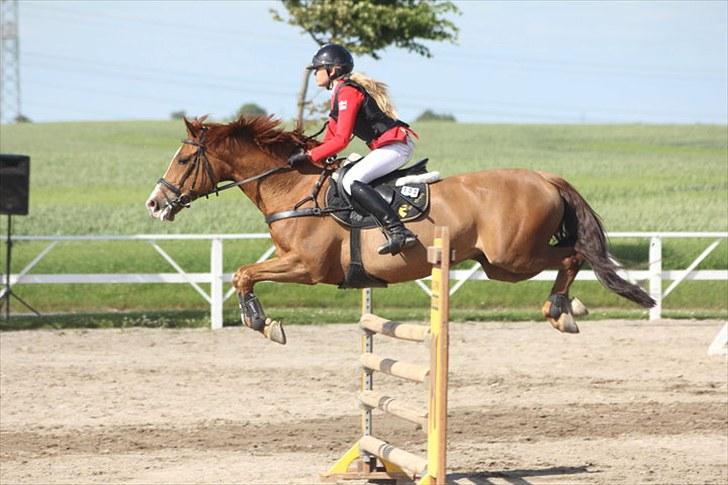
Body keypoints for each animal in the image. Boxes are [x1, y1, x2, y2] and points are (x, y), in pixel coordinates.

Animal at [146, 116, 656, 344]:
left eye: (185, 159)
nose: (155, 203)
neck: (294, 187)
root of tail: (544, 176)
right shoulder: (291, 262)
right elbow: (242, 273)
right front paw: (263, 321)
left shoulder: (307, 267)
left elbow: (243, 274)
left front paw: (261, 322)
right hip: (501, 264)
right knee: (573, 253)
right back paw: (570, 306)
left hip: (512, 258)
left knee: (573, 254)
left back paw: (561, 310)